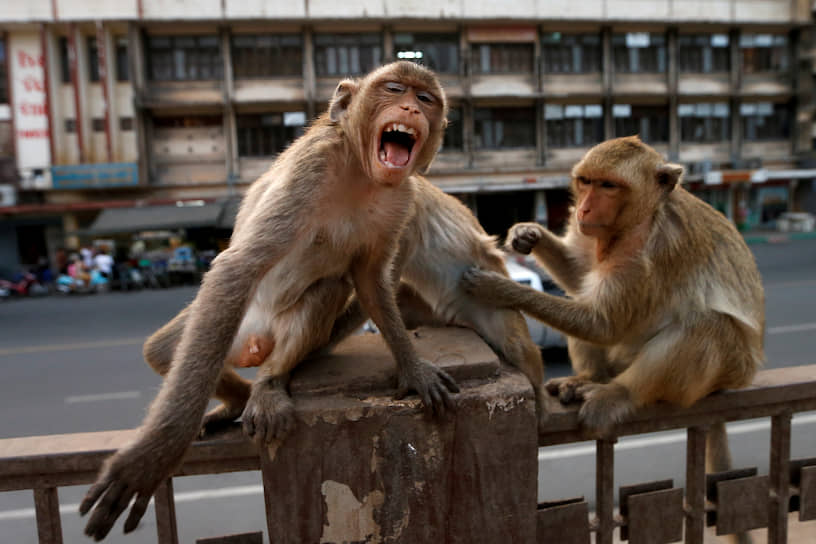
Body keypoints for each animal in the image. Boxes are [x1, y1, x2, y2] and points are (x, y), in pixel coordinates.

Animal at [81, 62, 540, 540]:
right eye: (395, 89)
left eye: (426, 99)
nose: (412, 108)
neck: (361, 171)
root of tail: (257, 341)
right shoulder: (314, 166)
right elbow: (238, 266)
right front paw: (157, 451)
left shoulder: (403, 199)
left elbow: (371, 281)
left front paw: (413, 370)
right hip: (232, 323)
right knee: (168, 349)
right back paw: (239, 397)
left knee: (326, 290)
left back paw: (265, 383)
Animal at [466, 136, 764, 460]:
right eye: (586, 182)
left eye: (608, 185)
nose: (584, 210)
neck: (638, 219)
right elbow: (581, 278)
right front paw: (528, 234)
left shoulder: (646, 252)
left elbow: (603, 324)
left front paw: (498, 288)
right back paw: (589, 376)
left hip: (727, 372)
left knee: (706, 325)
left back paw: (618, 393)